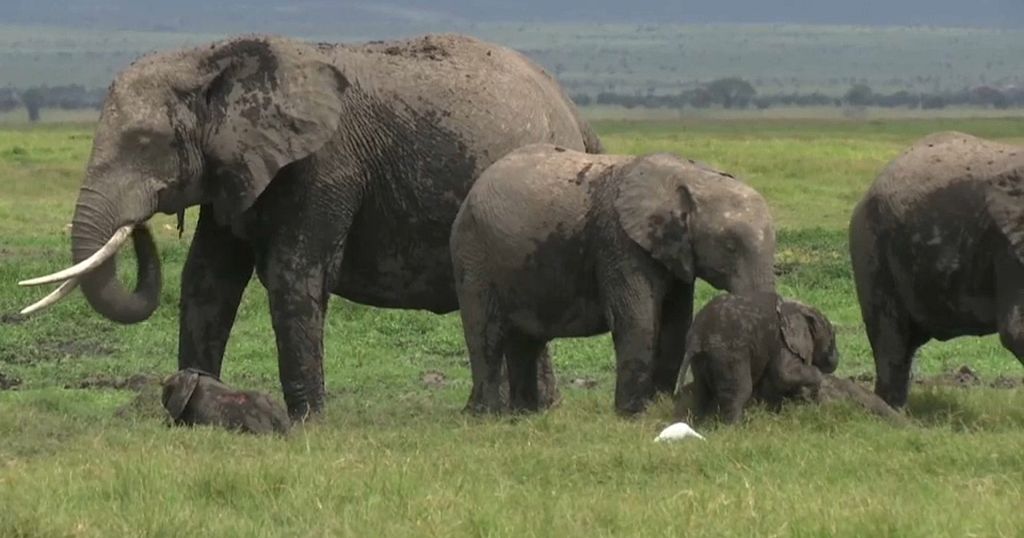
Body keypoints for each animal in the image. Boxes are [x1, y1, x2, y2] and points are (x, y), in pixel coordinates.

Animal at [19, 33, 602, 420]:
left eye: (144, 142)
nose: (139, 225)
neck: (213, 60)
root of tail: (575, 111)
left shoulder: (325, 166)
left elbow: (293, 277)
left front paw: (306, 423)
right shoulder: (236, 168)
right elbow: (208, 279)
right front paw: (188, 403)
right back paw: (537, 412)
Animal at [671, 291, 839, 422]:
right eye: (832, 338)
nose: (836, 357)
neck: (796, 307)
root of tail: (697, 337)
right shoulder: (782, 341)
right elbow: (784, 374)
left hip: (700, 358)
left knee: (701, 391)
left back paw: (700, 424)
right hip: (729, 351)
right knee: (740, 391)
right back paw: (734, 428)